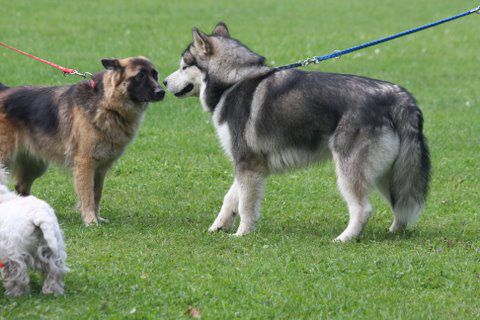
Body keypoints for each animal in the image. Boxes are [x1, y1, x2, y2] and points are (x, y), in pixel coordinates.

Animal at [0, 55, 165, 225]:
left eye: (155, 74)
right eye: (140, 75)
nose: (161, 92)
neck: (107, 104)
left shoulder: (100, 169)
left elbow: (96, 194)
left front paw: (97, 217)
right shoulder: (85, 163)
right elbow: (87, 195)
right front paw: (91, 220)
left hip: (36, 165)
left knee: (21, 186)